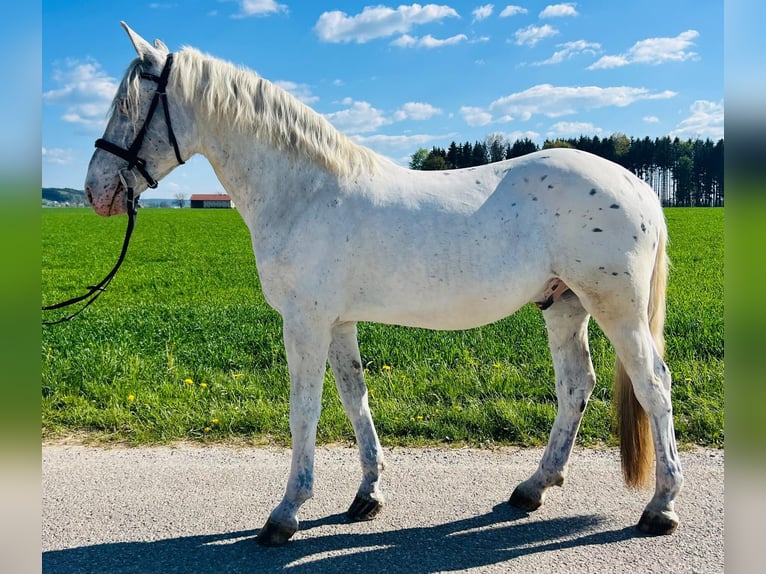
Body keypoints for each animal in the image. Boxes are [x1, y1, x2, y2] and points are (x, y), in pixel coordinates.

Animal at [84, 22, 683, 546]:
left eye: (128, 105)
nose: (95, 192)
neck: (306, 193)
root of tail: (638, 185)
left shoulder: (305, 323)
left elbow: (304, 411)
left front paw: (286, 514)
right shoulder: (338, 321)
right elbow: (355, 400)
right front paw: (366, 496)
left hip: (617, 309)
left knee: (654, 384)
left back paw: (661, 507)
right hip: (563, 304)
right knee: (576, 386)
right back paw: (532, 488)